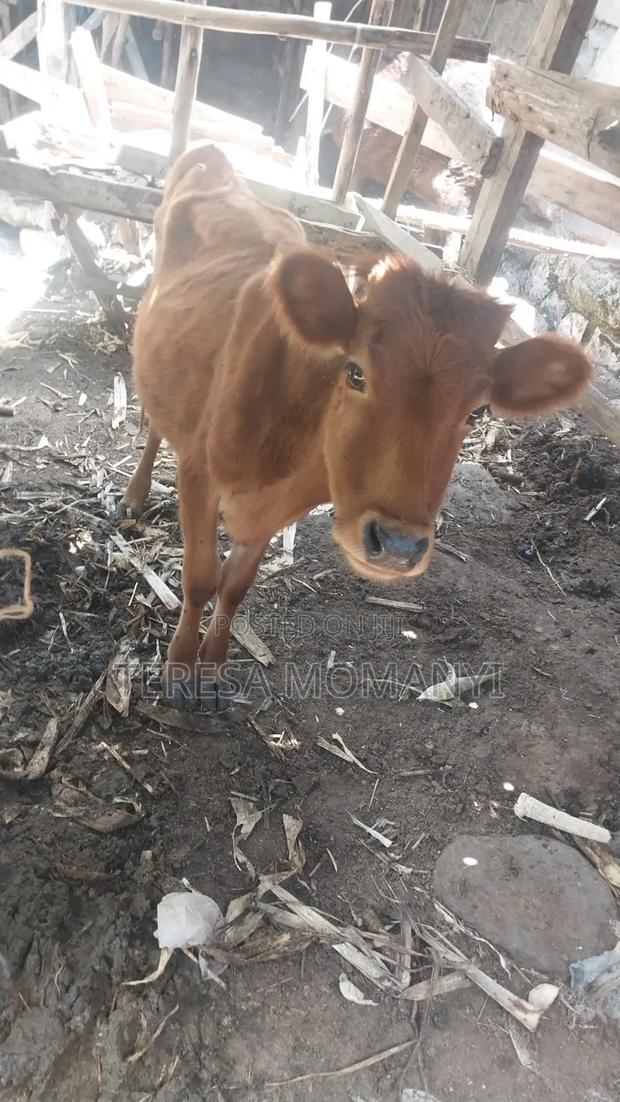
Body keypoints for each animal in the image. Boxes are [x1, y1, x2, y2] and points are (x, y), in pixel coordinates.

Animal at [123, 143, 592, 707]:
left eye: (478, 411)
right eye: (356, 372)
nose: (398, 546)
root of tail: (214, 156)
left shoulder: (273, 515)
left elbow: (234, 585)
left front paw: (212, 671)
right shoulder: (198, 474)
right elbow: (198, 578)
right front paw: (177, 668)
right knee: (155, 420)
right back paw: (134, 495)